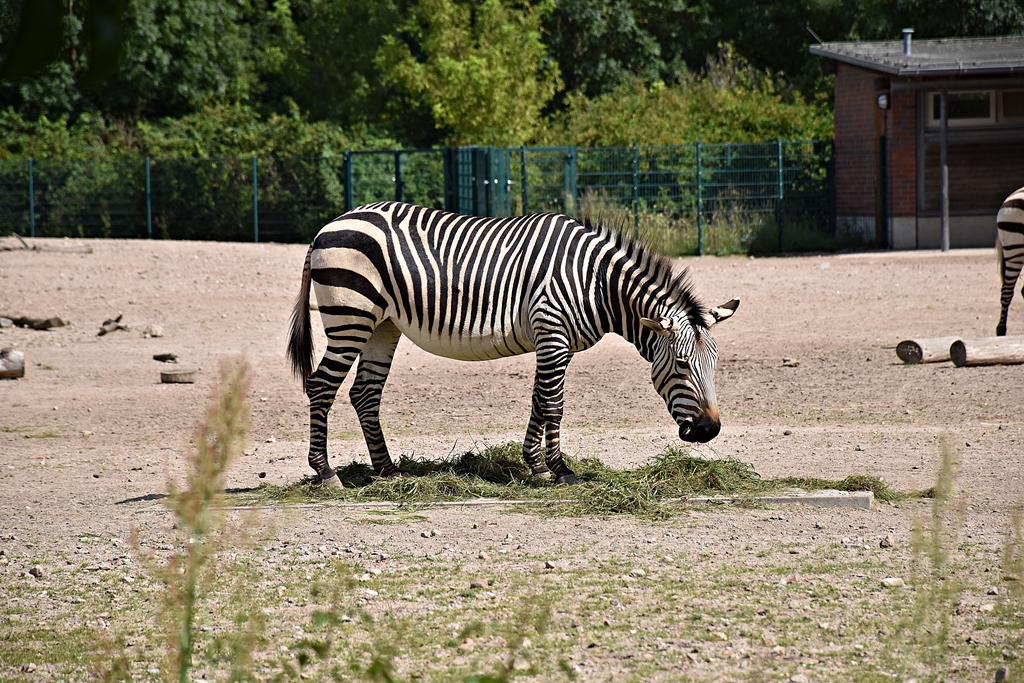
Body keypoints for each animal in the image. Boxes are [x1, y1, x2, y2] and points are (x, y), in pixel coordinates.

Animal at [287, 202, 739, 485]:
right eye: (681, 365)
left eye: (714, 365)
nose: (710, 430)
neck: (596, 282)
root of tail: (328, 227)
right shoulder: (552, 332)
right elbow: (554, 405)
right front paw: (558, 470)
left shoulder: (555, 342)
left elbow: (540, 401)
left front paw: (537, 465)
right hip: (351, 316)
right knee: (321, 386)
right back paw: (326, 473)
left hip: (382, 325)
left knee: (365, 393)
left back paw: (387, 470)